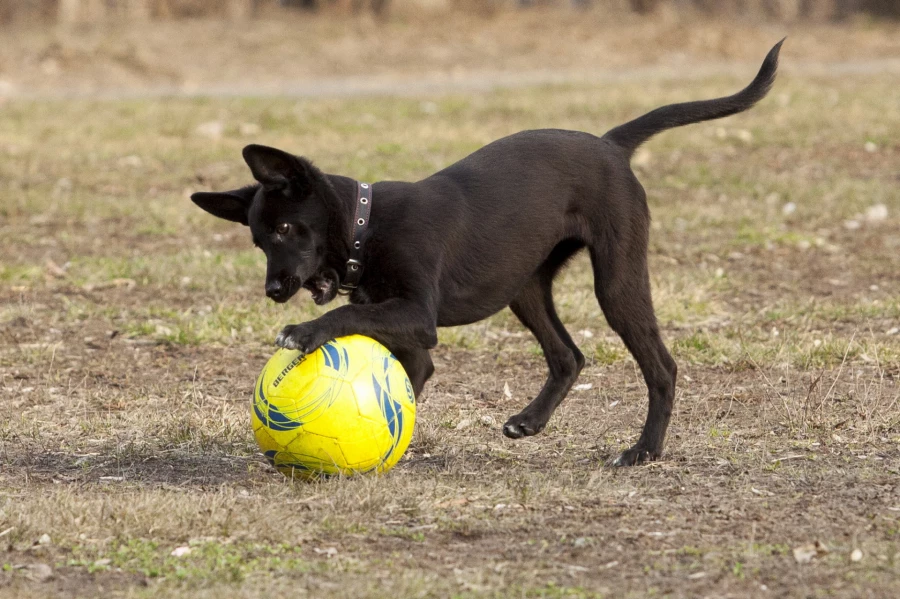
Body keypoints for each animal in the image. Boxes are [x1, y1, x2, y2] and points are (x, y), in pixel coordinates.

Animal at [192, 42, 780, 466]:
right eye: (258, 241)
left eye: (287, 228)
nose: (274, 291)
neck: (365, 223)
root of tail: (610, 144)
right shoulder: (411, 338)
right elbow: (406, 378)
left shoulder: (417, 315)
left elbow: (344, 315)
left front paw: (305, 333)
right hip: (526, 288)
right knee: (568, 355)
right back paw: (531, 421)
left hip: (616, 280)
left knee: (661, 366)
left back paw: (644, 451)